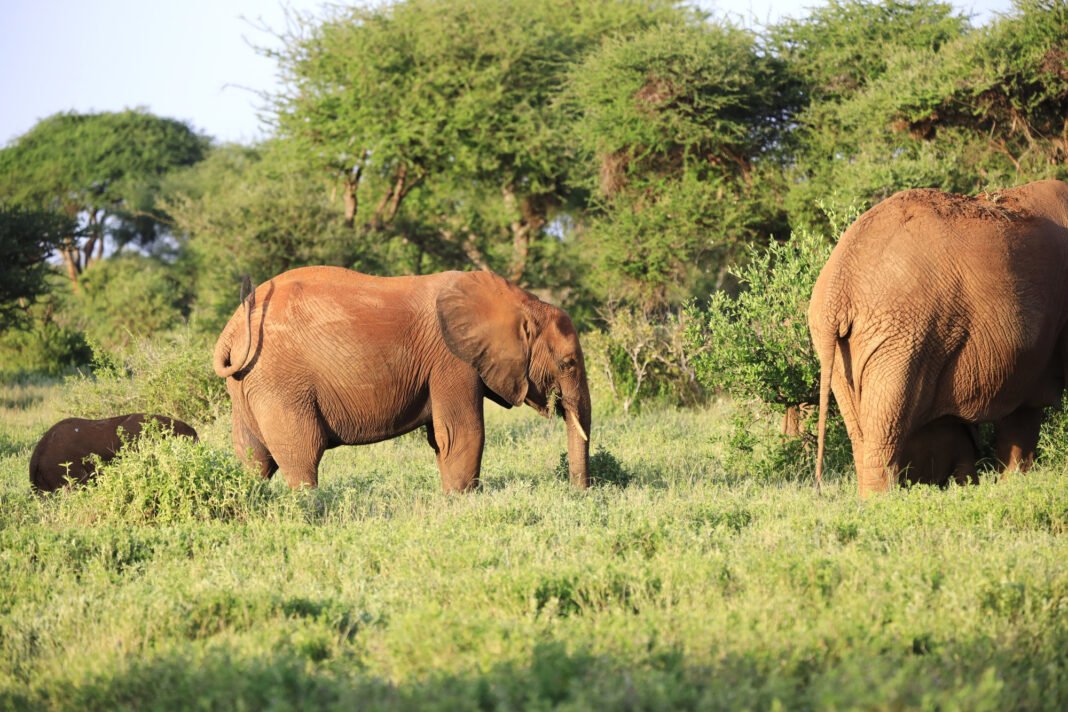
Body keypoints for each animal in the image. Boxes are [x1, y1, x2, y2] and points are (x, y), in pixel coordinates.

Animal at [212, 266, 591, 491]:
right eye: (568, 363)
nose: (579, 492)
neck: (517, 302)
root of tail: (231, 331)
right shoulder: (451, 361)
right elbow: (462, 433)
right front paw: (462, 501)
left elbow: (443, 440)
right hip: (282, 385)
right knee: (300, 455)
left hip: (250, 386)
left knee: (255, 458)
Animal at [809, 179, 1068, 496]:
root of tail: (838, 285)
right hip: (902, 332)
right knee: (883, 429)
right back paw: (882, 503)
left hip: (841, 349)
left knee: (862, 433)